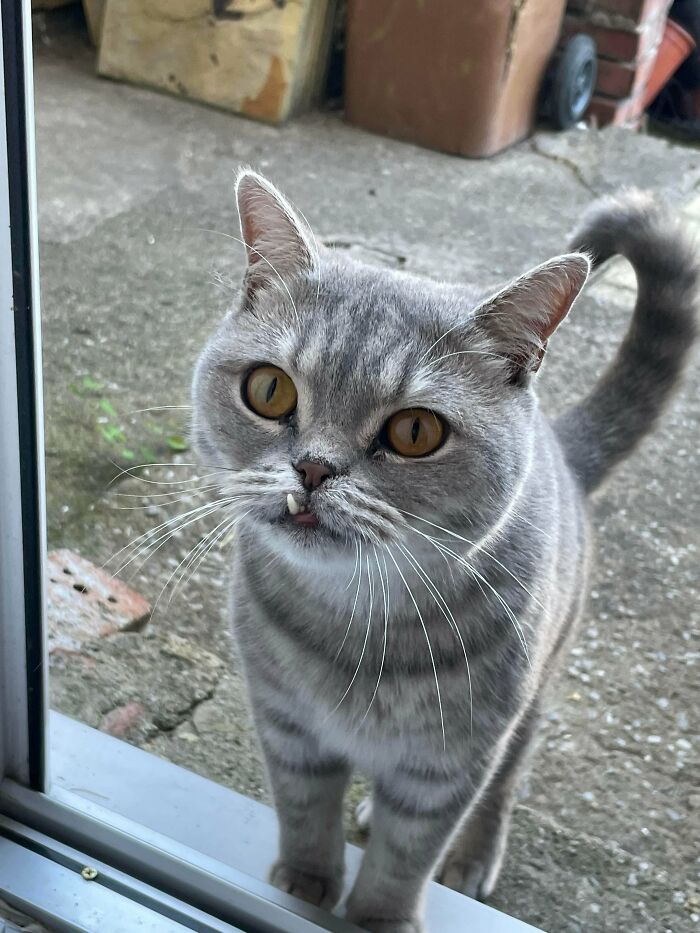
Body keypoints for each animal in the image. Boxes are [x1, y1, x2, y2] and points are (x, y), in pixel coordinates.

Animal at [189, 169, 696, 932]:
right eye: (269, 389)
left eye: (416, 431)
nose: (312, 468)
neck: (354, 626)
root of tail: (562, 449)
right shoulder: (287, 726)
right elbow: (304, 814)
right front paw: (302, 886)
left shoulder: (448, 765)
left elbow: (405, 859)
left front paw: (377, 917)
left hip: (533, 696)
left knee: (505, 784)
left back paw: (474, 853)